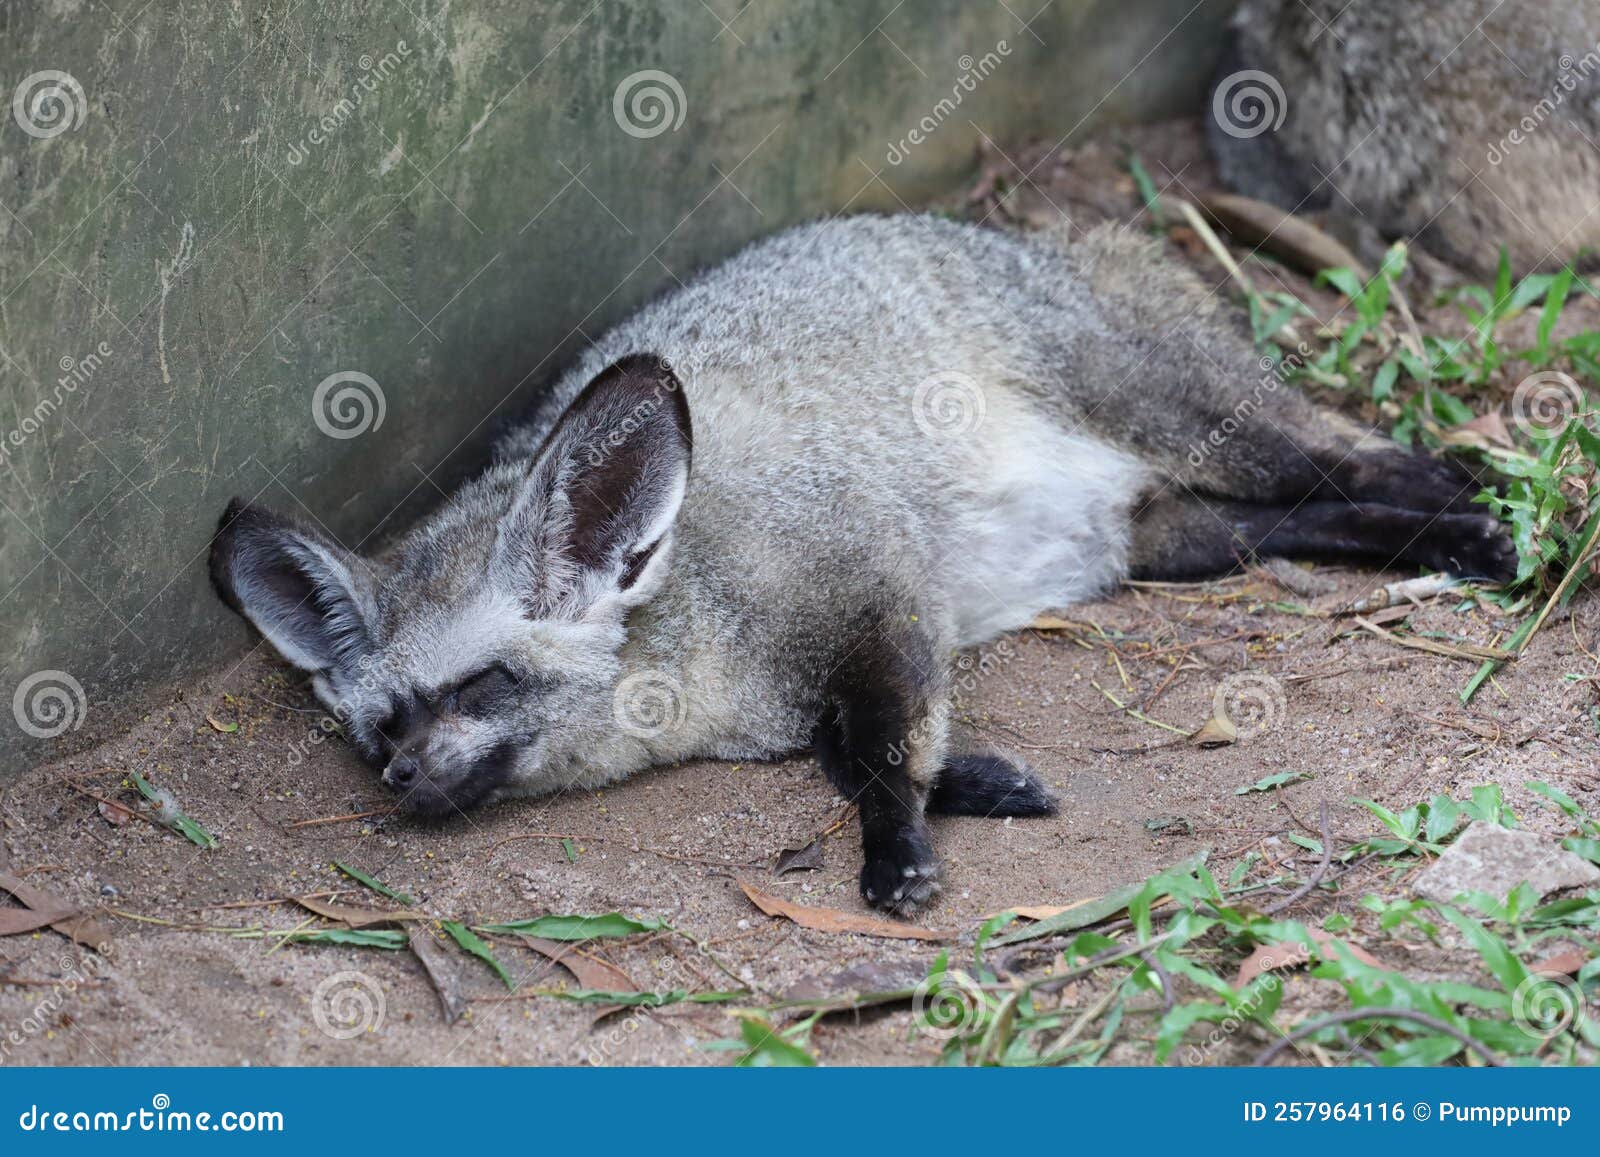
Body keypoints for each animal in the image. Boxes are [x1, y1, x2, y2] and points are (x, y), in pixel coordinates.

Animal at [210, 215, 1514, 912]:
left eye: (481, 683)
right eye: (379, 727)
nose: (401, 779)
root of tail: (1042, 243)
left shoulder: (880, 591)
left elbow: (878, 750)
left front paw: (899, 849)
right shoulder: (851, 658)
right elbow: (855, 749)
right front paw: (977, 781)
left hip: (1204, 430)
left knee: (1358, 456)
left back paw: (1471, 514)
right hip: (1170, 541)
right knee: (1311, 518)